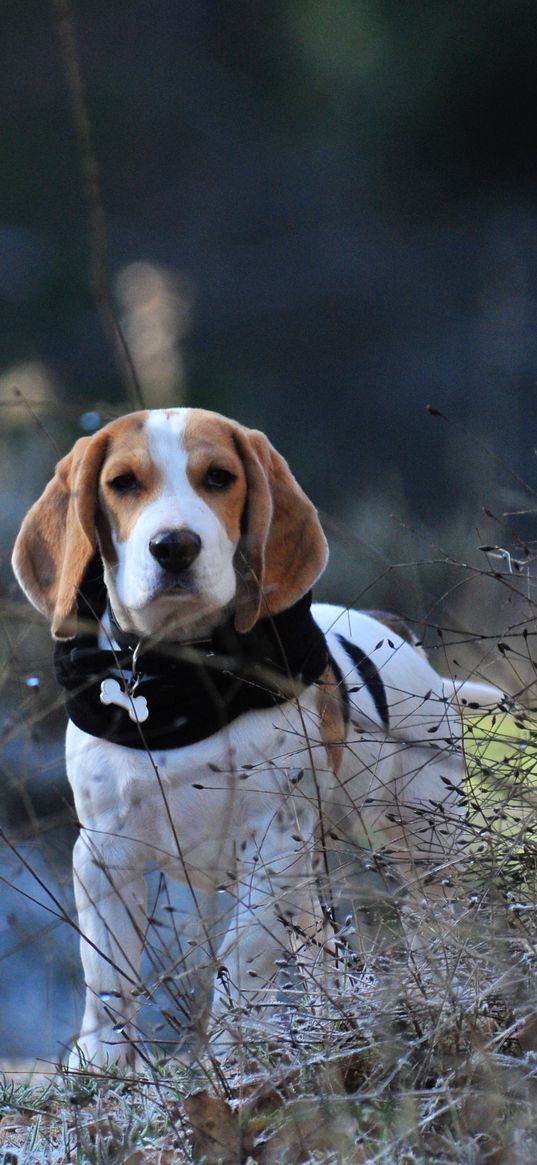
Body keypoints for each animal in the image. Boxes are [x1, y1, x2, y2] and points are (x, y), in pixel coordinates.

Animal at [10, 407, 500, 1067]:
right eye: (122, 483)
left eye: (219, 477)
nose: (174, 546)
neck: (182, 679)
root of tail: (399, 637)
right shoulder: (106, 854)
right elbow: (109, 980)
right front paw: (103, 1066)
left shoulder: (270, 848)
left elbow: (241, 962)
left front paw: (229, 1056)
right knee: (323, 949)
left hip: (422, 840)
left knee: (433, 925)